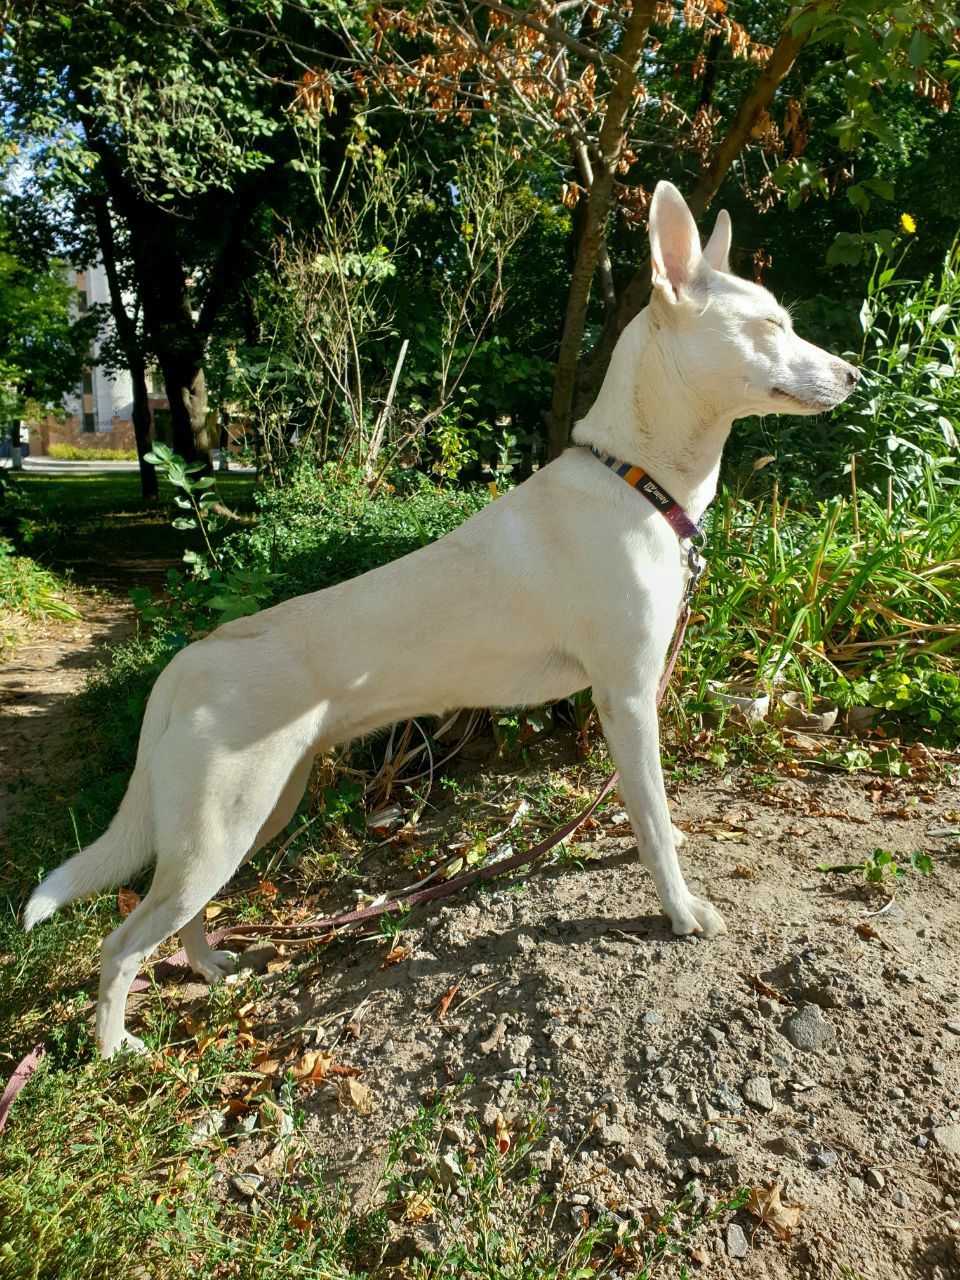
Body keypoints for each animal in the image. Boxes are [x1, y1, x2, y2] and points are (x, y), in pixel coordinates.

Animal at [24, 183, 865, 1059]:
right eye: (769, 325)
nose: (856, 373)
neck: (635, 480)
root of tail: (187, 661)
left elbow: (646, 814)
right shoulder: (627, 699)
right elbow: (656, 823)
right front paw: (679, 910)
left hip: (248, 820)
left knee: (176, 918)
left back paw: (209, 966)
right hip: (221, 830)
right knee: (121, 943)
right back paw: (113, 1049)